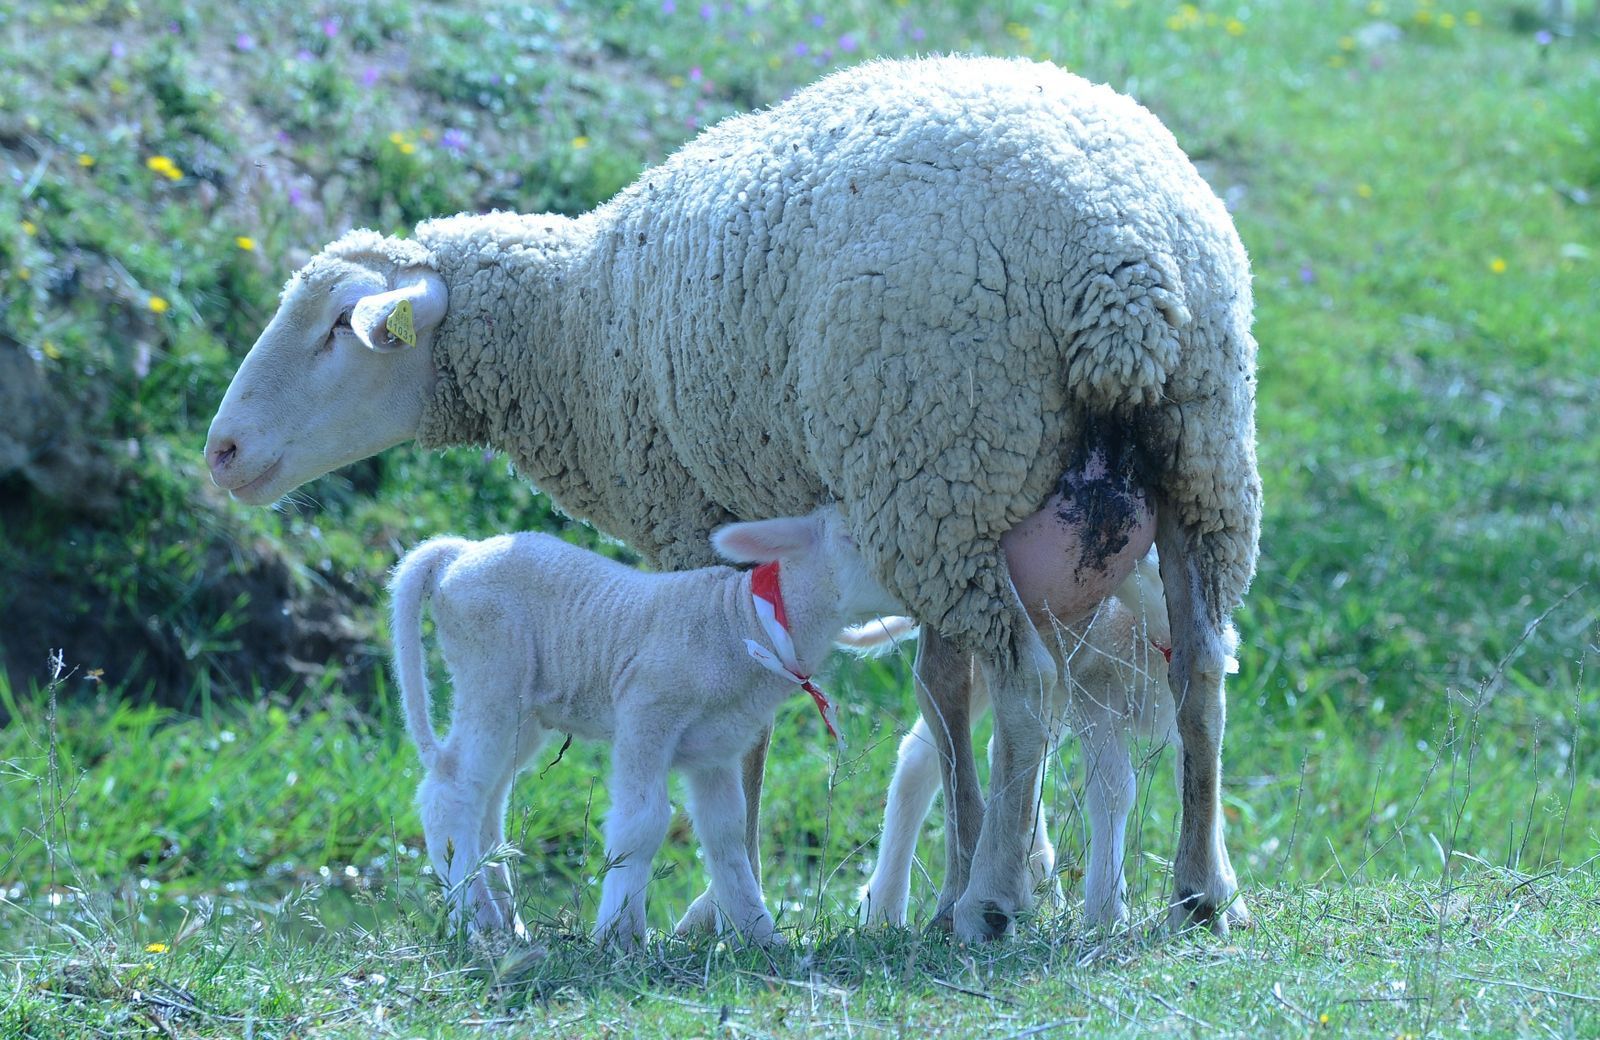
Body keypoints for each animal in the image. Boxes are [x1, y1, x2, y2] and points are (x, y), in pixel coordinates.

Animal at [388, 506, 900, 947]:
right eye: (851, 539)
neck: (746, 624)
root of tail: (460, 551)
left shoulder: (716, 749)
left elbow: (726, 834)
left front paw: (759, 933)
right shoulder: (648, 711)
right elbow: (643, 822)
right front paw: (621, 934)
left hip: (526, 711)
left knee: (488, 801)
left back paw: (507, 924)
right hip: (491, 675)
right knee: (451, 793)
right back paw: (475, 918)